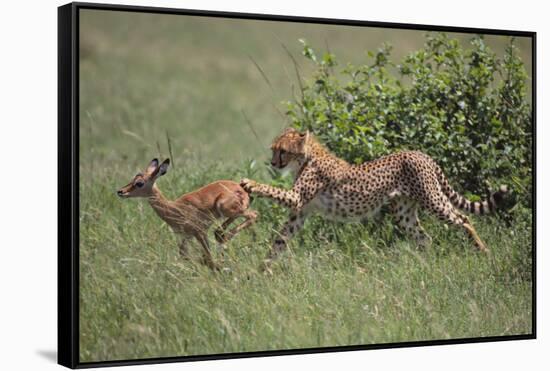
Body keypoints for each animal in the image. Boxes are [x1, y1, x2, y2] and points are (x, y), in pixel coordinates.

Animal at [244, 128, 512, 270]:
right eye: (273, 150)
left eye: (283, 151)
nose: (273, 163)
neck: (307, 157)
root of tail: (421, 154)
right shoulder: (301, 212)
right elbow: (280, 240)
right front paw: (261, 270)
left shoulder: (297, 198)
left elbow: (274, 191)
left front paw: (250, 183)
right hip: (403, 212)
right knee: (424, 237)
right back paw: (423, 264)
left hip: (433, 200)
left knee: (464, 219)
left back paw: (483, 250)